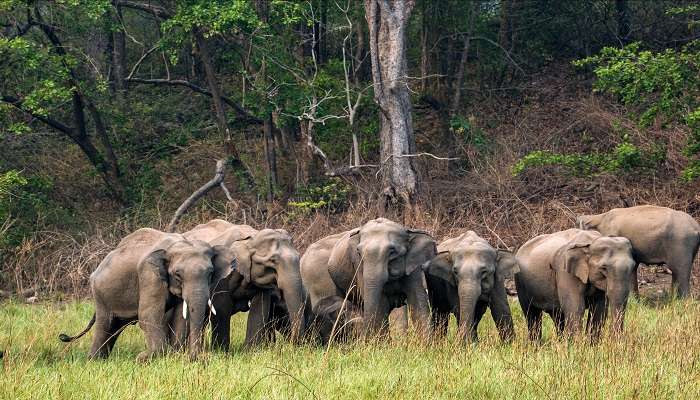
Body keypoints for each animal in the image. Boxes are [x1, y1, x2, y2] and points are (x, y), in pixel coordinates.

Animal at [58, 228, 234, 362]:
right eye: (178, 275)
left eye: (210, 273)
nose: (196, 358)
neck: (179, 244)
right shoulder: (149, 275)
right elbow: (148, 314)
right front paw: (144, 358)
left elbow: (180, 316)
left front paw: (174, 355)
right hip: (101, 294)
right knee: (105, 325)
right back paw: (94, 361)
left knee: (115, 328)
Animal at [170, 219, 306, 350]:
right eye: (273, 260)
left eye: (299, 257)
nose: (293, 344)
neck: (250, 238)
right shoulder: (222, 276)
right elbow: (221, 307)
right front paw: (221, 351)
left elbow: (260, 307)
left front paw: (251, 351)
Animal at [302, 217, 438, 342]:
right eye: (358, 251)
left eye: (392, 251)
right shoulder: (359, 266)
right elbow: (381, 304)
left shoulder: (414, 267)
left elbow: (418, 302)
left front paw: (425, 346)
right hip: (318, 276)